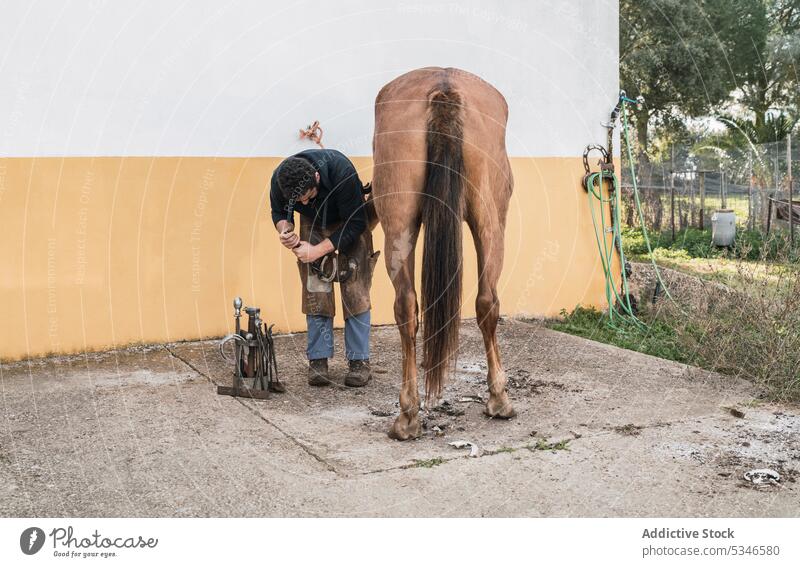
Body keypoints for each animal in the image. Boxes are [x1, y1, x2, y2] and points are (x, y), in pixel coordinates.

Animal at [372, 65, 516, 440]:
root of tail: (444, 88)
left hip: (401, 224)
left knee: (409, 306)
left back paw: (409, 413)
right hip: (490, 221)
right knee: (485, 302)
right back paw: (497, 398)